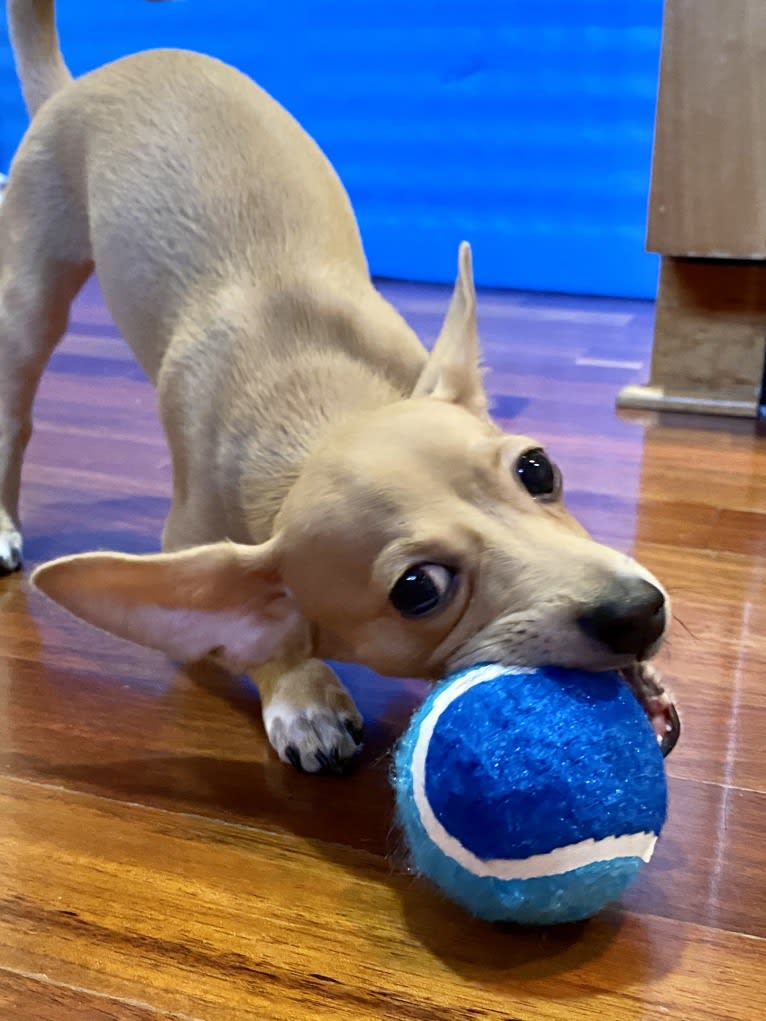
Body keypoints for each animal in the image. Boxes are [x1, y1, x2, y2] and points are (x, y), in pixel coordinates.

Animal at [0, 0, 682, 767]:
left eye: (539, 470)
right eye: (418, 590)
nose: (639, 611)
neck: (317, 412)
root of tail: (74, 84)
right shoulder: (187, 541)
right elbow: (247, 631)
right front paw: (301, 690)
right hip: (29, 299)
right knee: (13, 415)